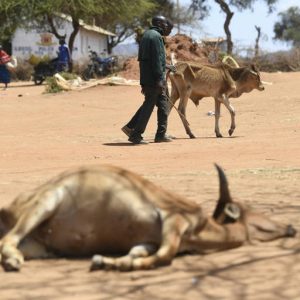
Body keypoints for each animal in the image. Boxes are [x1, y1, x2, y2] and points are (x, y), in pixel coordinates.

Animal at [0, 164, 296, 272]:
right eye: (251, 211)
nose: (291, 227)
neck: (202, 229)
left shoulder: (149, 241)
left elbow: (138, 252)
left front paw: (108, 262)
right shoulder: (173, 222)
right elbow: (164, 256)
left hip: (39, 245)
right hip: (45, 203)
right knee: (7, 241)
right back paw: (13, 262)